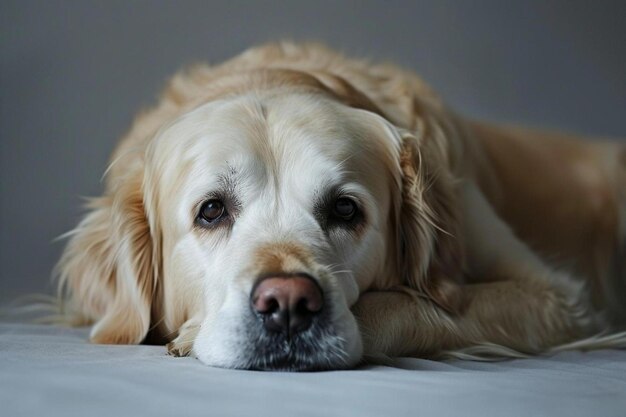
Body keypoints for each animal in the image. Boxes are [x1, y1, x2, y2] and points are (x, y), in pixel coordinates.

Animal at [53, 41, 624, 368]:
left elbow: (411, 304)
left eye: (346, 210)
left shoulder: (557, 297)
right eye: (211, 211)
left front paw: (191, 336)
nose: (287, 305)